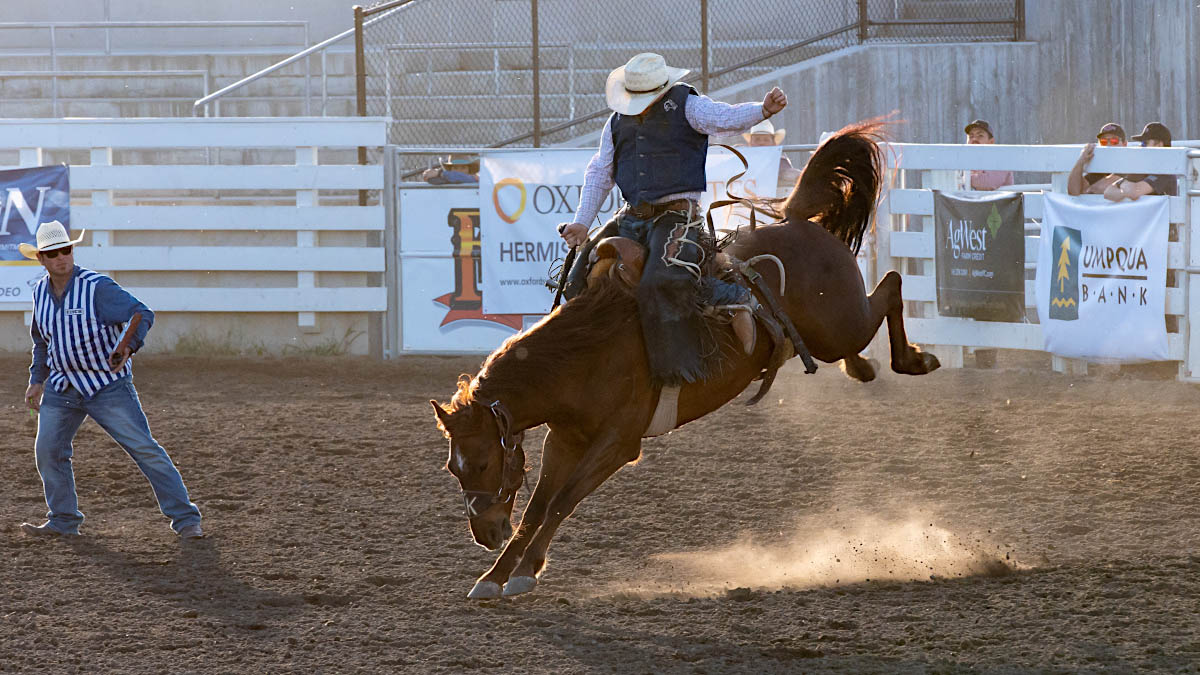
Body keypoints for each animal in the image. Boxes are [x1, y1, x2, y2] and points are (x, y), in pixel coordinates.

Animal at [432, 119, 936, 593]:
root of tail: (795, 220)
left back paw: (915, 361)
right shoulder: (564, 440)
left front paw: (522, 572)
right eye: (453, 468)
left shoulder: (619, 443)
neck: (586, 358)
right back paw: (862, 366)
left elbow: (562, 501)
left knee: (892, 284)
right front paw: (496, 575)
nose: (485, 533)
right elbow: (538, 507)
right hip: (832, 332)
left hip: (841, 321)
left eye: (481, 463)